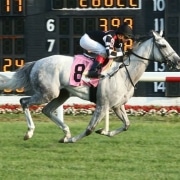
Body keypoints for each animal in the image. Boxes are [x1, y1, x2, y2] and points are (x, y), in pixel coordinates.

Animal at [0, 31, 180, 143]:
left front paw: (105, 131)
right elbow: (89, 129)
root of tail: (37, 62)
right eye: (163, 45)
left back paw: (66, 132)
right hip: (47, 93)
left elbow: (126, 125)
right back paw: (30, 132)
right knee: (24, 102)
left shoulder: (117, 105)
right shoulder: (103, 104)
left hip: (61, 94)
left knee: (47, 110)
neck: (123, 73)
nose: (177, 61)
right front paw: (72, 140)